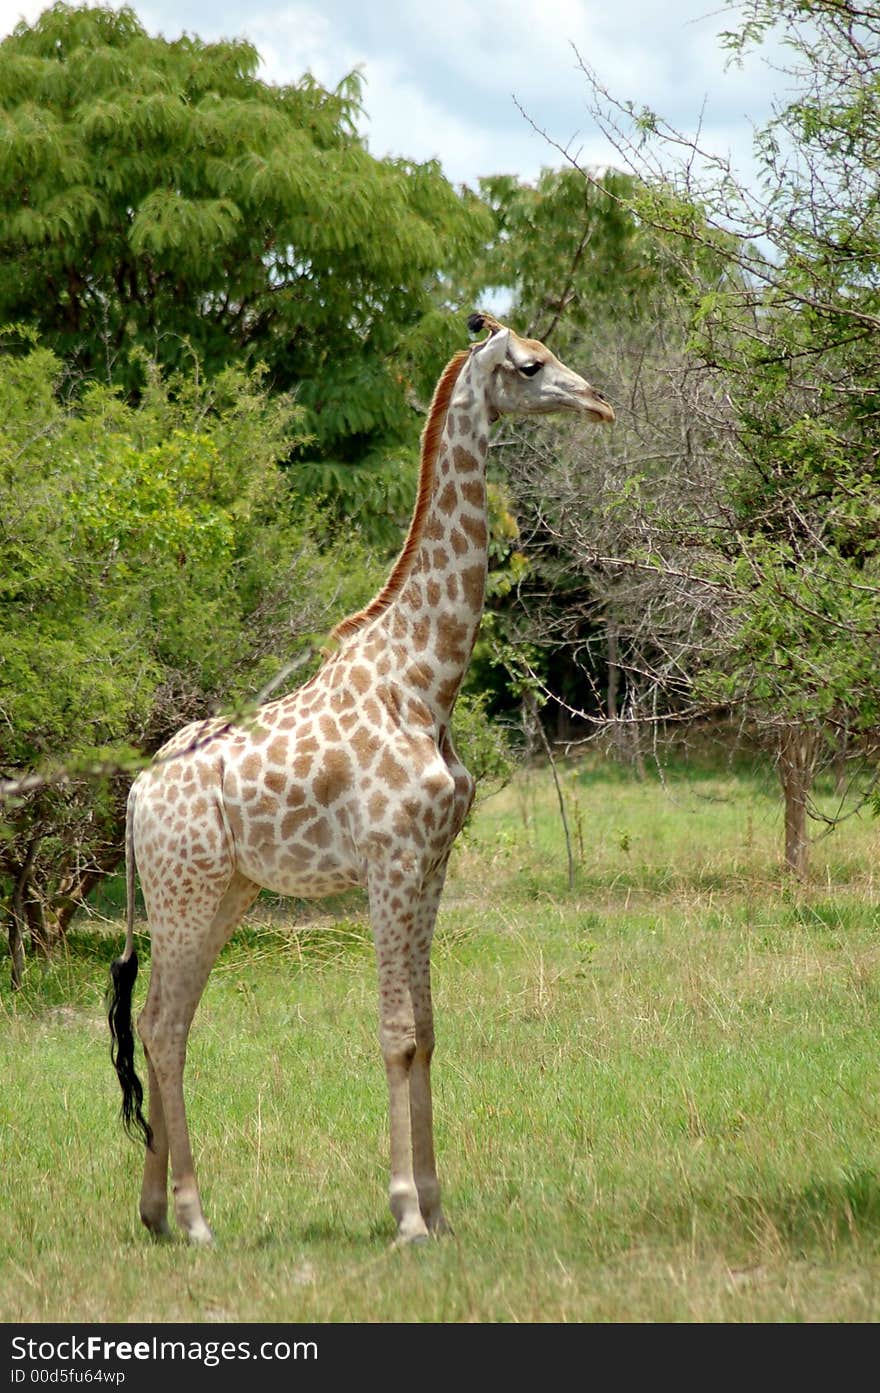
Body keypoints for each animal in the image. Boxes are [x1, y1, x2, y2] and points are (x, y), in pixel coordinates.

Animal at [106, 310, 612, 1248]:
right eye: (530, 365)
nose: (597, 399)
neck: (425, 679)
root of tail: (135, 794)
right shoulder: (391, 859)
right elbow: (396, 1030)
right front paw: (408, 1212)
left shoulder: (434, 860)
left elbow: (431, 1028)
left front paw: (439, 1208)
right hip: (185, 892)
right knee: (160, 1025)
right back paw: (195, 1217)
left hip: (219, 891)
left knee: (165, 1022)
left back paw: (158, 1212)